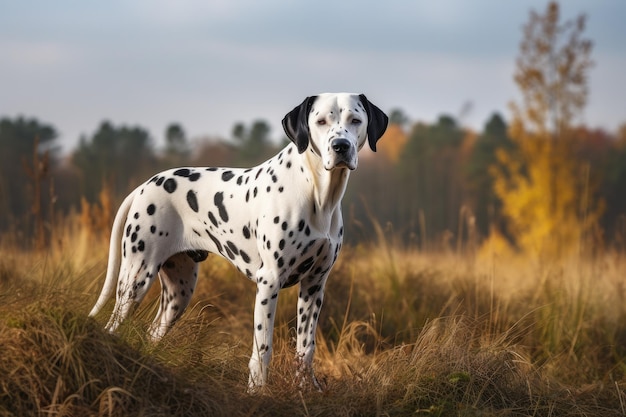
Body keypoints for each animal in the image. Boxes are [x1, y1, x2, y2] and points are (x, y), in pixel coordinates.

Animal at [89, 92, 386, 390]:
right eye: (321, 121)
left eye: (355, 120)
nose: (340, 146)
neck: (316, 193)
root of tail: (143, 187)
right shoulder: (269, 281)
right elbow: (263, 347)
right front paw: (257, 391)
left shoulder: (314, 286)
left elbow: (306, 347)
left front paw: (305, 388)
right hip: (136, 278)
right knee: (113, 327)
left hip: (178, 292)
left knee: (153, 332)